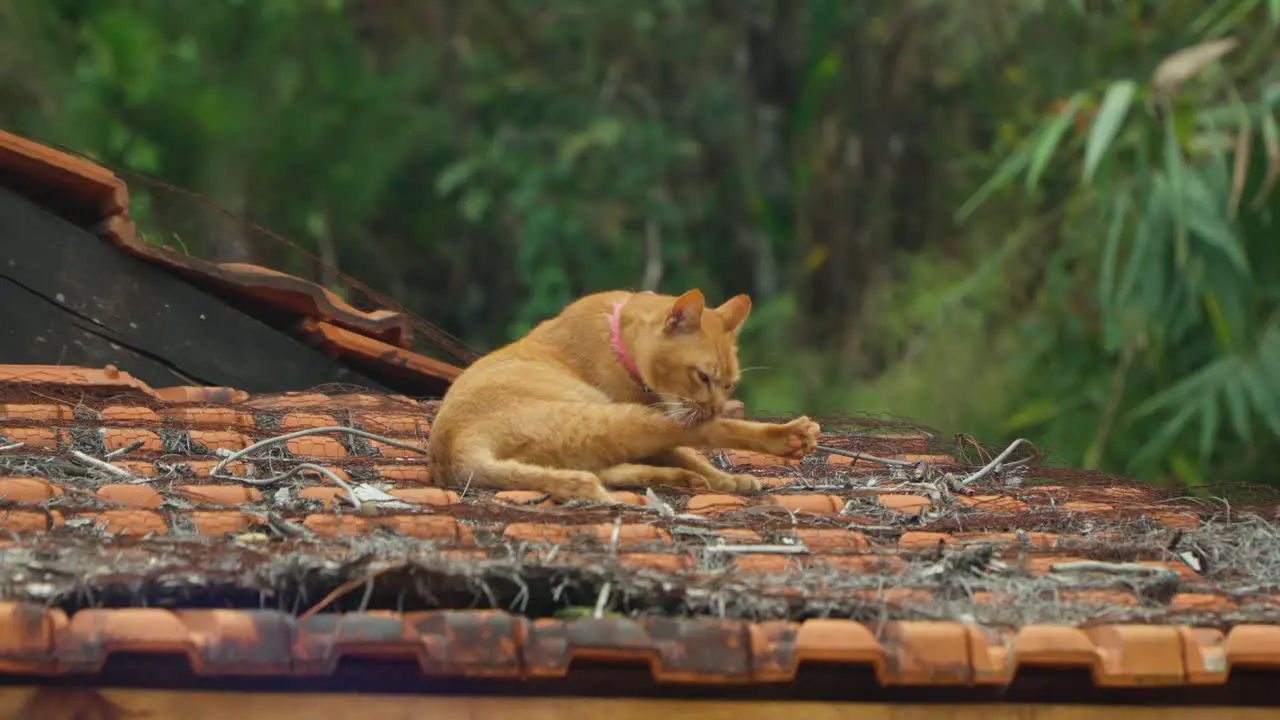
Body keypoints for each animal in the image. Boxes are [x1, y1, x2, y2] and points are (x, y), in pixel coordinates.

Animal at [427, 288, 819, 502]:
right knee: (703, 434)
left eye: (730, 384)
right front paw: (728, 476)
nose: (717, 407)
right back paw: (788, 436)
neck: (617, 335)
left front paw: (727, 480)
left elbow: (691, 457)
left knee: (605, 472)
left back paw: (679, 478)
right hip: (610, 416)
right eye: (702, 376)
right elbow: (691, 448)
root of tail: (454, 451)